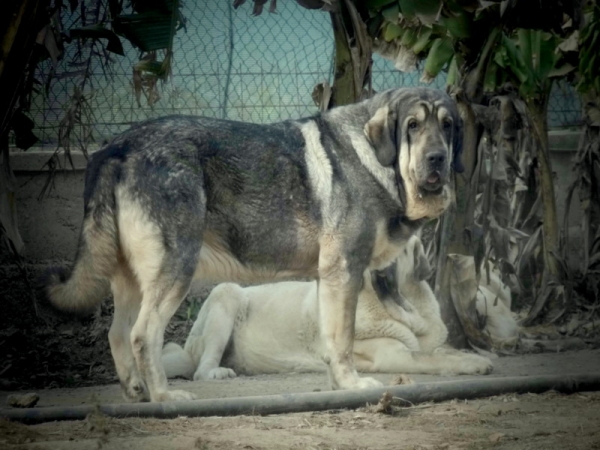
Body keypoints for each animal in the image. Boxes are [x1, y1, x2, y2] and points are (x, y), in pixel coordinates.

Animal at [163, 236, 492, 380]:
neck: (402, 307)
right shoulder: (394, 355)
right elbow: (429, 359)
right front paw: (472, 364)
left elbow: (443, 352)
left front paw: (472, 356)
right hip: (226, 293)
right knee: (200, 369)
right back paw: (215, 372)